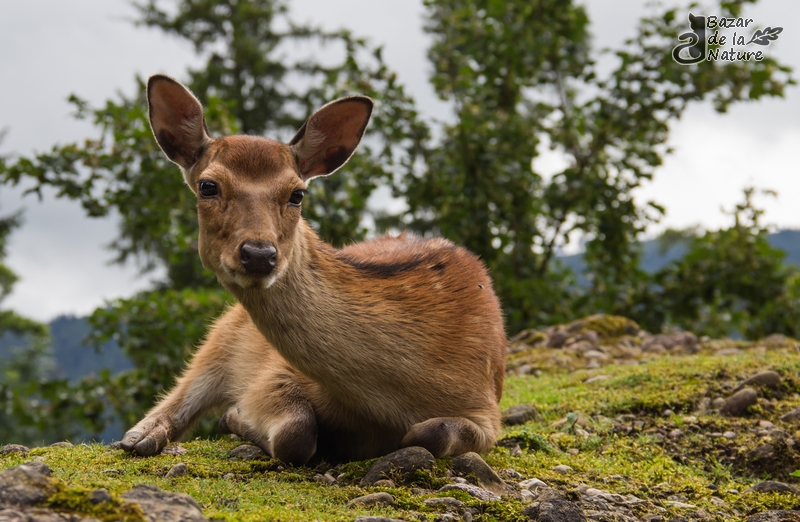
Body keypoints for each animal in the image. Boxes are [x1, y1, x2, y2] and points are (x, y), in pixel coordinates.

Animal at [115, 74, 506, 464]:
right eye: (208, 186)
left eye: (297, 193)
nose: (259, 254)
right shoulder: (273, 371)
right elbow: (296, 433)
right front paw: (237, 418)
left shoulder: (486, 409)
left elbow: (431, 432)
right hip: (221, 334)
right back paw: (140, 437)